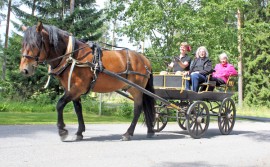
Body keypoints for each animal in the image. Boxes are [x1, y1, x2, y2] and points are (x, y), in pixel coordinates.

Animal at [19, 21, 155, 141]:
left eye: (35, 44)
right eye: (23, 45)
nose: (24, 70)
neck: (72, 56)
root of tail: (145, 60)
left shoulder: (78, 87)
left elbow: (60, 104)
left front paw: (62, 131)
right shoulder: (72, 89)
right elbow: (78, 109)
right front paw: (79, 132)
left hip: (136, 89)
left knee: (138, 108)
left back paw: (128, 133)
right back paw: (150, 130)